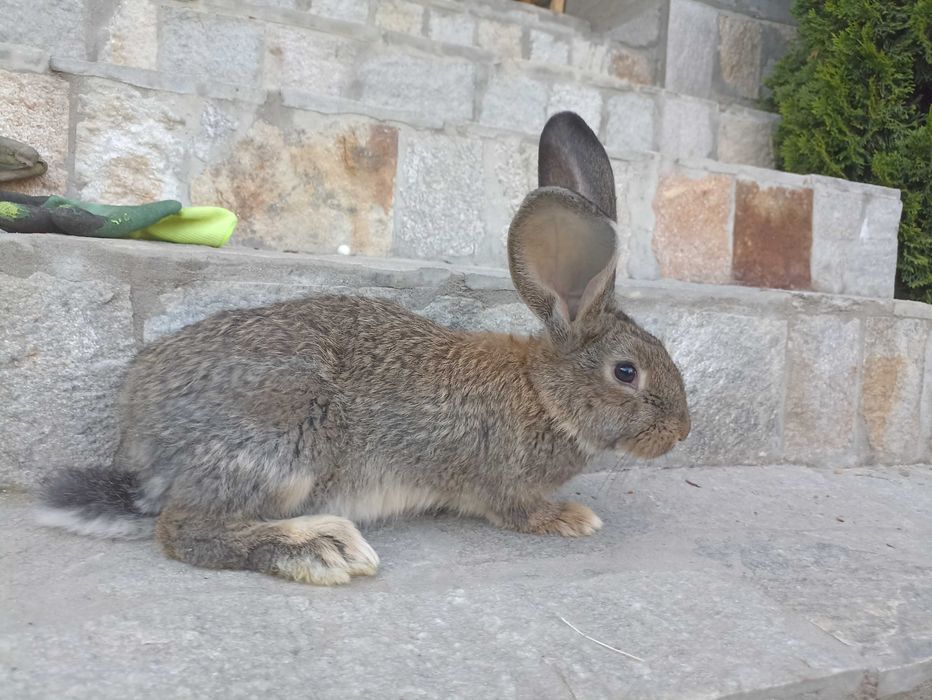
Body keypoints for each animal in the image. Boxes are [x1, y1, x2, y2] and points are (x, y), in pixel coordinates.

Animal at [36, 113, 688, 584]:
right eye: (626, 372)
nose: (680, 432)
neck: (545, 394)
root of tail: (140, 430)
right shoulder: (500, 481)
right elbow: (518, 510)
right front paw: (574, 519)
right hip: (285, 433)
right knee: (185, 530)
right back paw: (322, 549)